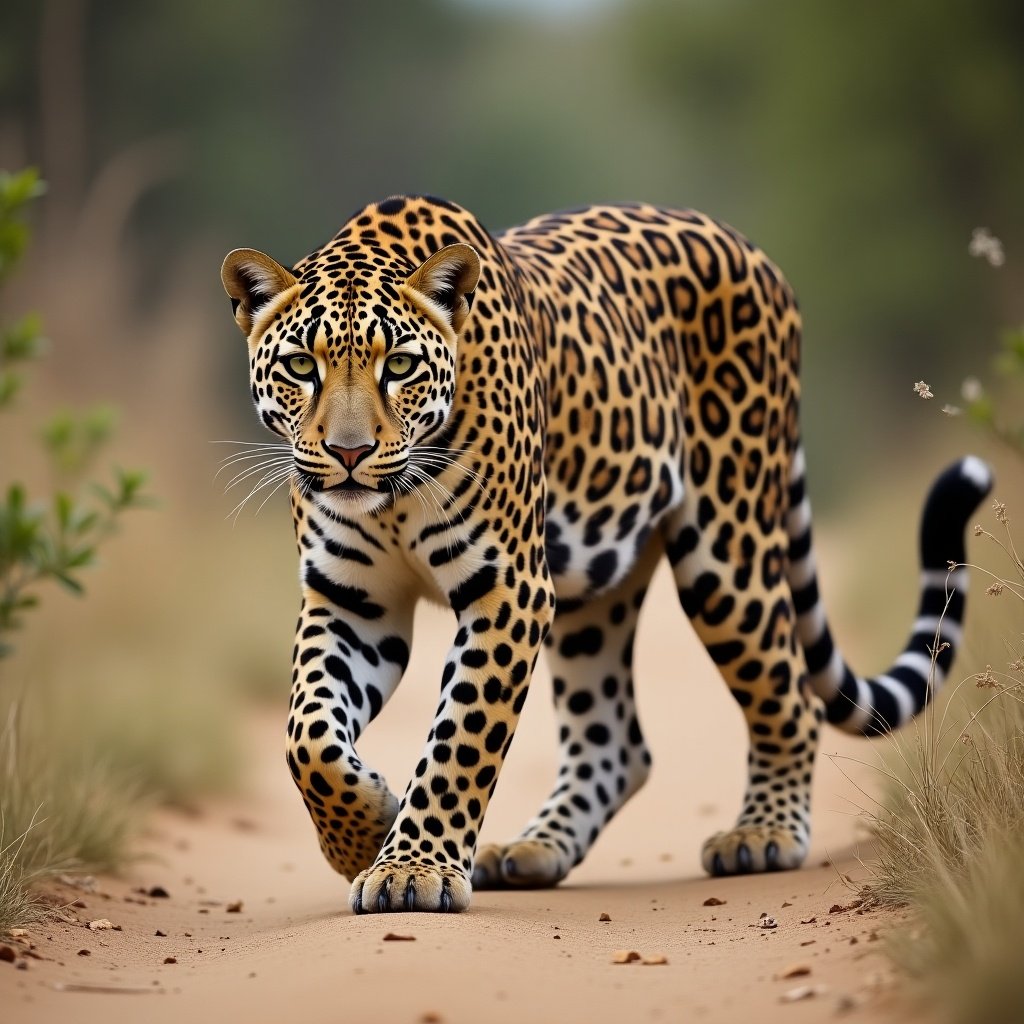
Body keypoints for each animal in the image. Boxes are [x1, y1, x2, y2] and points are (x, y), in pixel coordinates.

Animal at [218, 193, 991, 913]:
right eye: (300, 365)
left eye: (401, 366)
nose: (349, 454)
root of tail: (750, 249)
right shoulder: (350, 600)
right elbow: (307, 734)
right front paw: (361, 836)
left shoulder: (508, 589)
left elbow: (461, 738)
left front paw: (413, 870)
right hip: (594, 584)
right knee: (617, 742)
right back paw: (534, 849)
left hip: (728, 554)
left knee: (789, 694)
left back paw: (762, 833)